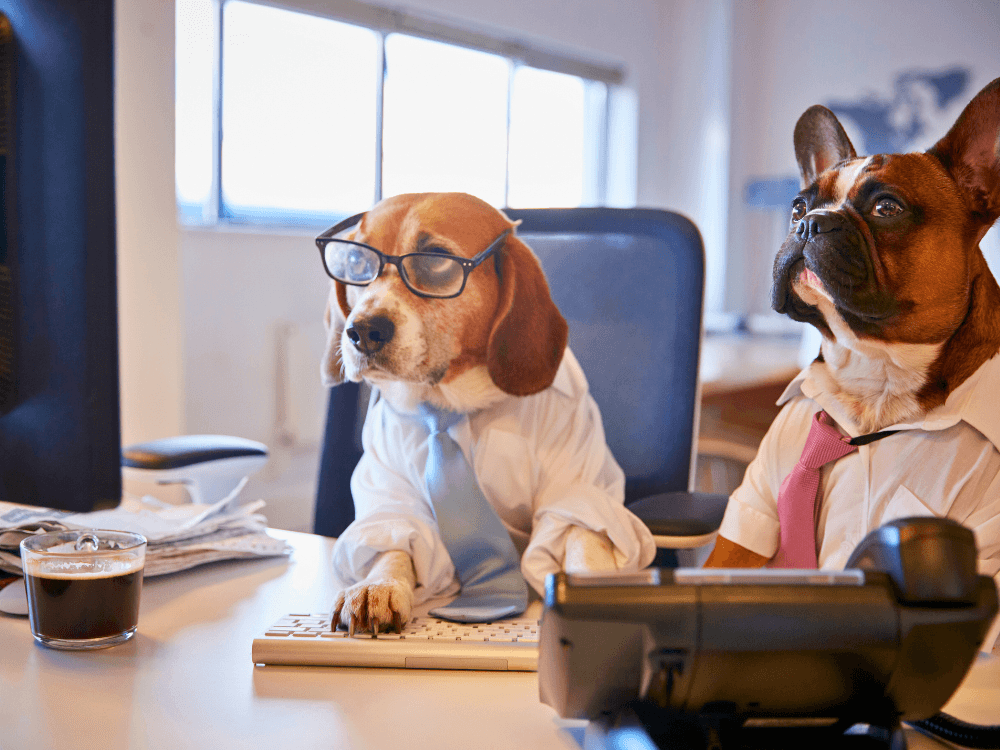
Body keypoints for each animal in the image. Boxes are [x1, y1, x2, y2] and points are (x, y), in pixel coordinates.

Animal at [316, 192, 652, 636]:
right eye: (356, 263)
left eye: (435, 259)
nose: (363, 331)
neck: (453, 406)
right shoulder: (391, 495)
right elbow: (393, 546)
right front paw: (378, 586)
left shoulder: (577, 488)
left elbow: (583, 536)